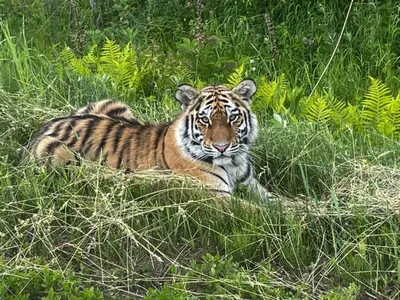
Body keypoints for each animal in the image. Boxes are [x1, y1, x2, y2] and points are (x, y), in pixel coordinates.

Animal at [26, 80, 274, 199]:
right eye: (205, 120)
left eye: (233, 118)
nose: (221, 147)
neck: (232, 163)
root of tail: (44, 126)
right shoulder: (217, 198)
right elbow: (260, 213)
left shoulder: (253, 186)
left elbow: (278, 202)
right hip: (58, 154)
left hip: (113, 103)